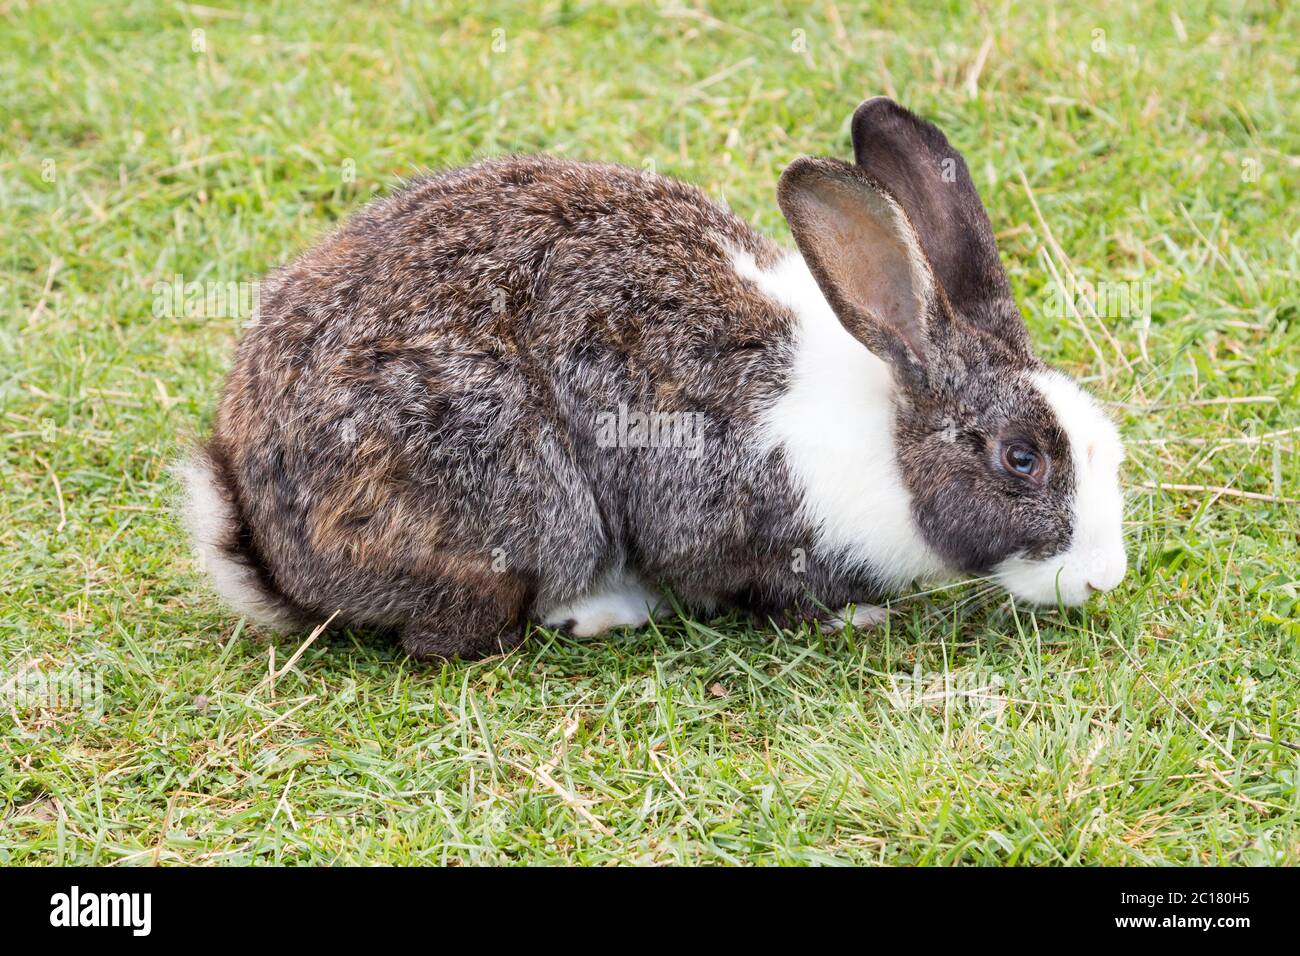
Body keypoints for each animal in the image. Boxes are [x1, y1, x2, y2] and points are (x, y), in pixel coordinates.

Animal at [180, 100, 1128, 660]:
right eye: (1020, 460)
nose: (1101, 580)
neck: (887, 433)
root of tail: (270, 551)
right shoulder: (717, 511)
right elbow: (763, 589)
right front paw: (853, 618)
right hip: (520, 500)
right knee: (455, 637)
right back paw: (605, 611)